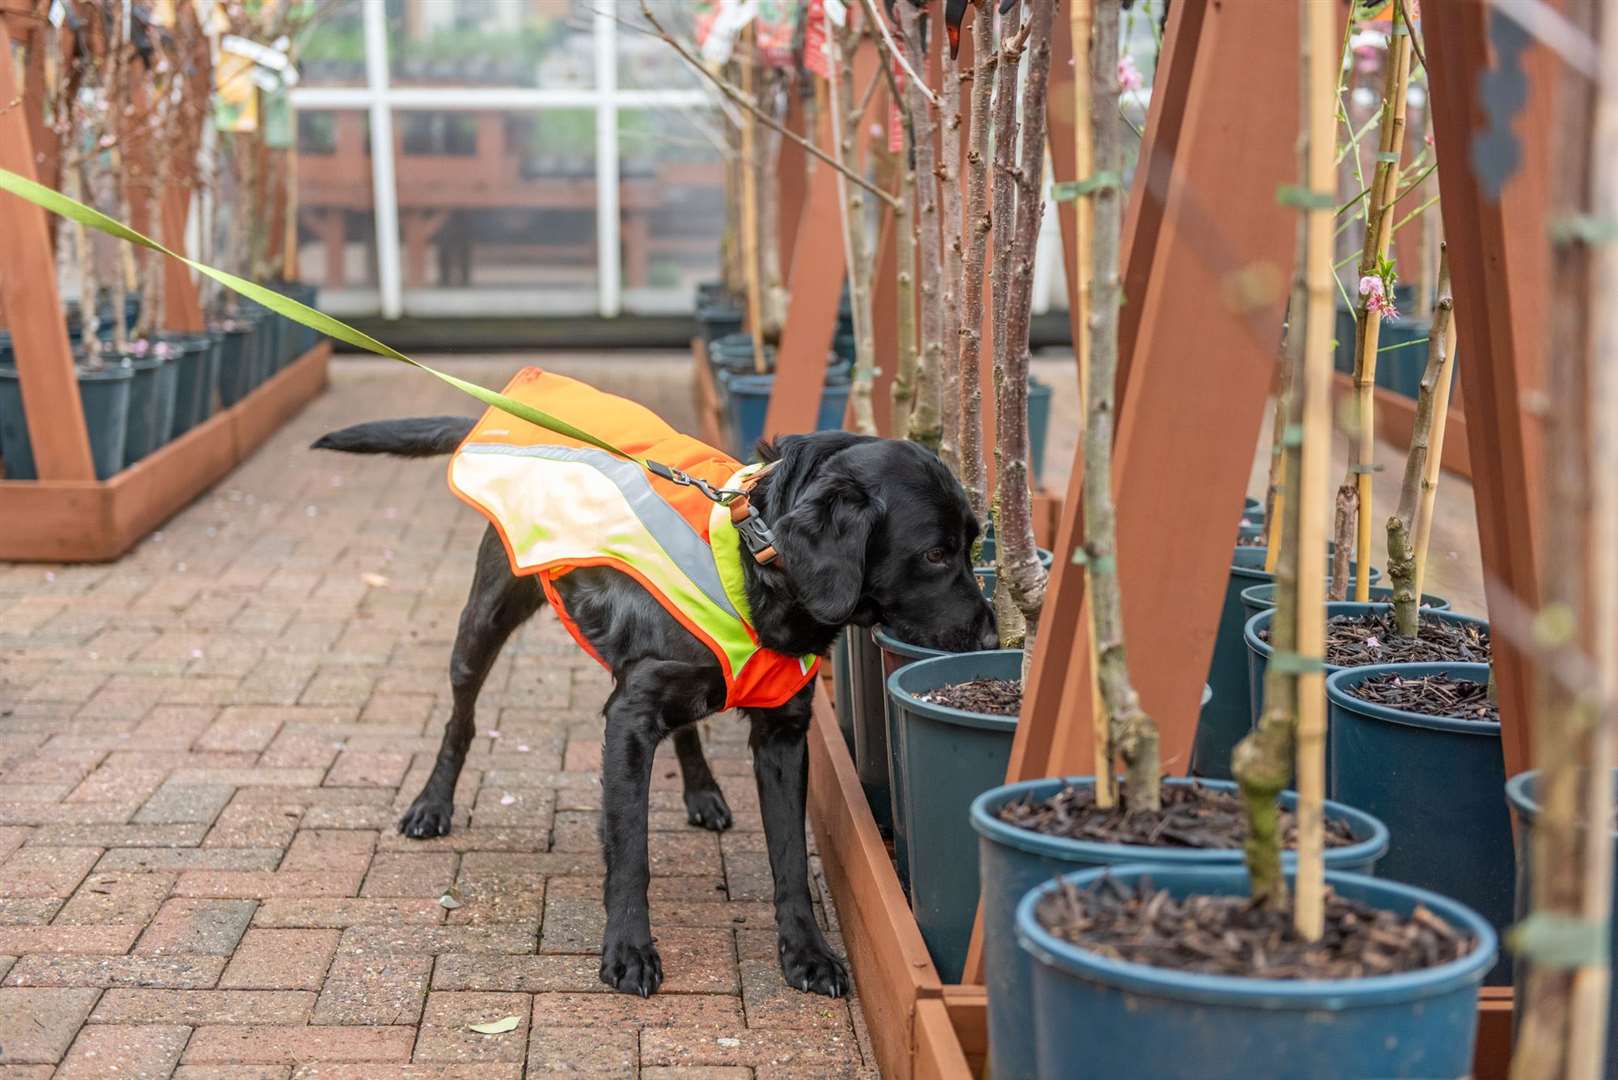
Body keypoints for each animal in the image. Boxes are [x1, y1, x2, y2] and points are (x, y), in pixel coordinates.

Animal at [309, 420, 990, 997]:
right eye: (935, 553)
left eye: (972, 544)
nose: (991, 637)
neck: (752, 560)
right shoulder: (629, 722)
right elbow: (630, 850)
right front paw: (629, 951)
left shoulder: (783, 733)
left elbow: (792, 860)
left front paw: (807, 954)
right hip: (483, 623)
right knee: (461, 718)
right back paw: (431, 804)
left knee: (687, 729)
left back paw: (703, 792)